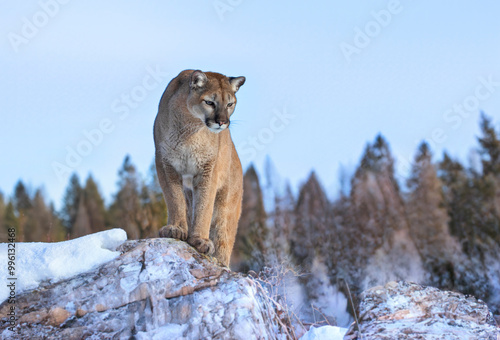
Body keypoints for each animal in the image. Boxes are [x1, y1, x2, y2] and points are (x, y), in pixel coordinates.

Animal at [153, 68, 245, 266]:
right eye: (209, 102)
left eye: (230, 104)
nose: (222, 122)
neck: (190, 130)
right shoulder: (166, 164)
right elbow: (174, 198)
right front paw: (176, 229)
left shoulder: (208, 170)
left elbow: (204, 206)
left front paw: (200, 239)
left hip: (226, 208)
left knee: (223, 237)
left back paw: (222, 263)